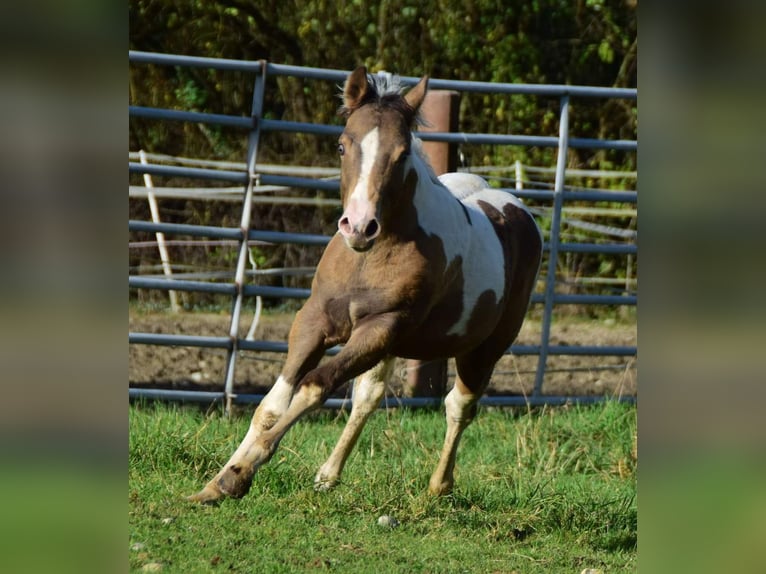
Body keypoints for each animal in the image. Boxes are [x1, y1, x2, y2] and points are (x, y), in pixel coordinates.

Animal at [189, 66, 542, 503]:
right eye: (342, 146)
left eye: (402, 153)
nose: (358, 226)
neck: (369, 257)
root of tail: (513, 207)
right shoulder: (315, 320)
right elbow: (273, 403)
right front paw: (219, 480)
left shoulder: (381, 327)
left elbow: (314, 385)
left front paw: (239, 475)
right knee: (368, 396)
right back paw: (328, 475)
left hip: (483, 349)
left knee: (459, 405)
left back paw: (438, 486)